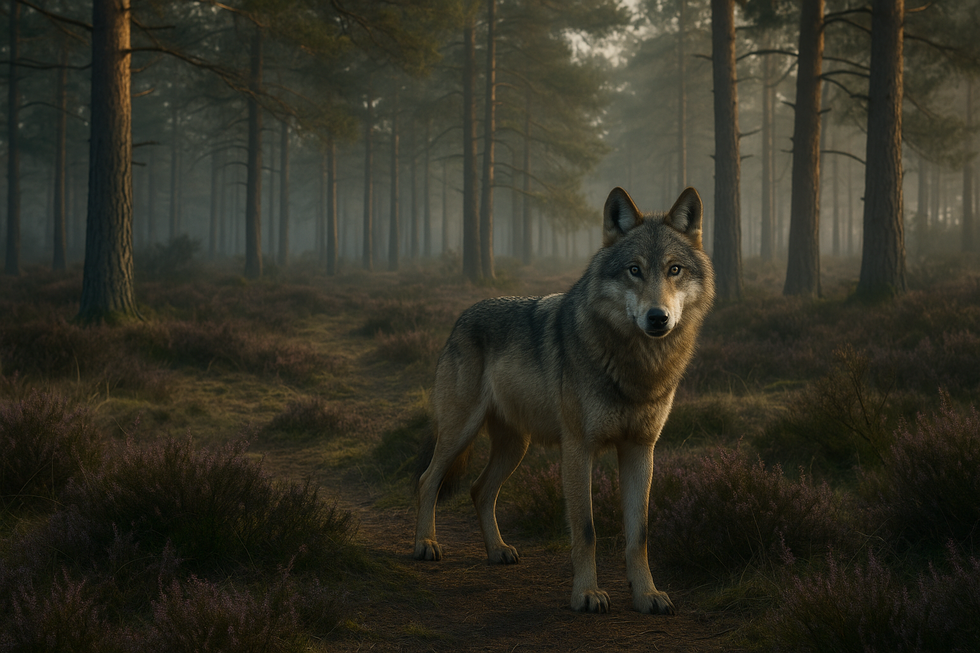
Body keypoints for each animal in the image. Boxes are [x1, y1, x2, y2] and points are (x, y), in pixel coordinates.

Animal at [413, 186, 715, 614]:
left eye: (674, 270)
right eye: (634, 270)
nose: (658, 318)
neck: (636, 366)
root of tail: (463, 315)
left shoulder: (641, 449)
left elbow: (639, 534)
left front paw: (647, 595)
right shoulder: (578, 449)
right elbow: (586, 530)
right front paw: (586, 594)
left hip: (515, 447)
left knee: (479, 490)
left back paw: (498, 550)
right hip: (460, 432)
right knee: (428, 480)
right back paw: (425, 544)